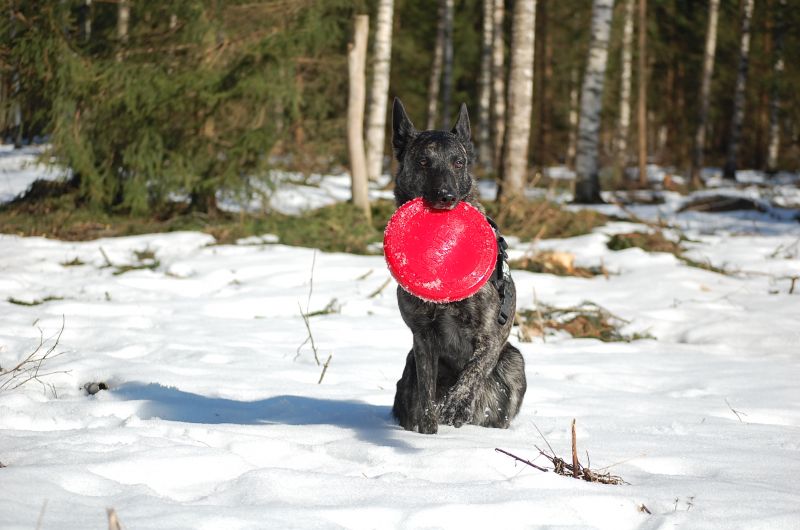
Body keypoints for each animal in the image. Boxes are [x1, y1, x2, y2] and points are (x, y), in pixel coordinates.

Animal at [388, 98, 524, 434]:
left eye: (458, 162)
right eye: (424, 162)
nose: (446, 197)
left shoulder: (491, 337)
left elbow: (472, 372)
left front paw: (455, 404)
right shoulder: (422, 340)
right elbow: (427, 395)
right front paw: (430, 431)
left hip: (515, 362)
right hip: (407, 370)